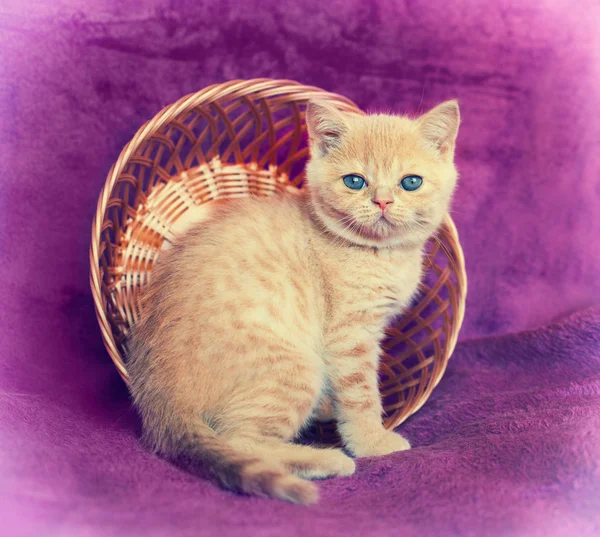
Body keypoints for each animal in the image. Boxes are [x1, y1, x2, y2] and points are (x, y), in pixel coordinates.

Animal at [129, 98, 462, 504]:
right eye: (355, 181)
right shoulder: (349, 337)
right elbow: (361, 395)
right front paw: (372, 442)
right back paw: (326, 460)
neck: (378, 253)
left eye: (410, 182)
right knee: (240, 440)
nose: (382, 200)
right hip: (296, 366)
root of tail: (159, 401)